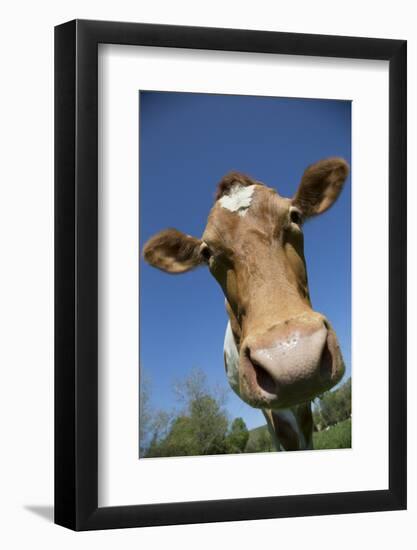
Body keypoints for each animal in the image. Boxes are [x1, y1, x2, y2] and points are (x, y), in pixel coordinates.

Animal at [143, 158, 348, 452]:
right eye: (207, 252)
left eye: (295, 216)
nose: (293, 359)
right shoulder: (273, 401)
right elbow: (286, 436)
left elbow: (306, 428)